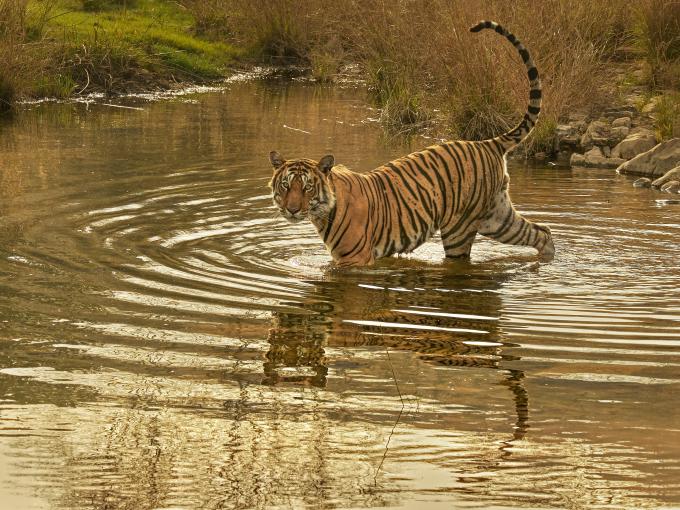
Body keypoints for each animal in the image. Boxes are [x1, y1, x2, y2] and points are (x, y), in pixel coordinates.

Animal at [268, 19, 556, 266]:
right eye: (285, 186)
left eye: (307, 188)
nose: (292, 210)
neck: (323, 211)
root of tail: (486, 143)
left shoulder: (355, 261)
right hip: (497, 219)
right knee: (542, 231)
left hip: (460, 228)